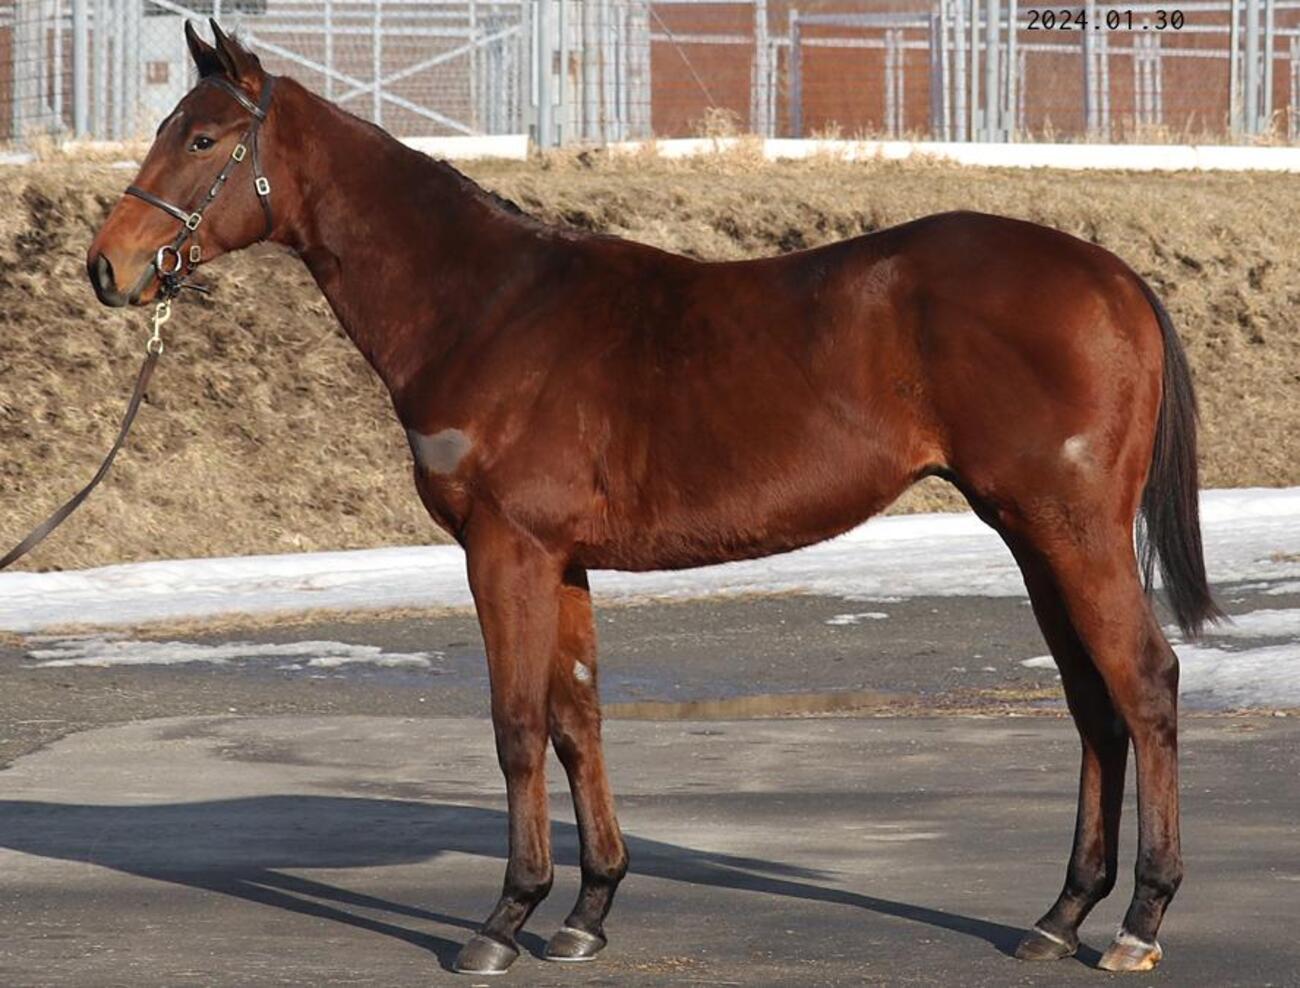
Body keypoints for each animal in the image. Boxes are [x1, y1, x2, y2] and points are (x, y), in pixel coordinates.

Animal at [86, 21, 1219, 976]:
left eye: (201, 136)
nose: (110, 266)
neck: (486, 309)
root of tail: (1114, 276)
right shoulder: (562, 560)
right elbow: (577, 717)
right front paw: (586, 911)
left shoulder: (504, 548)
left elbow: (514, 724)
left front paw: (504, 919)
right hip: (1031, 532)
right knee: (1091, 702)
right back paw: (1061, 915)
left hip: (1070, 529)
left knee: (1144, 682)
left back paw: (1138, 919)